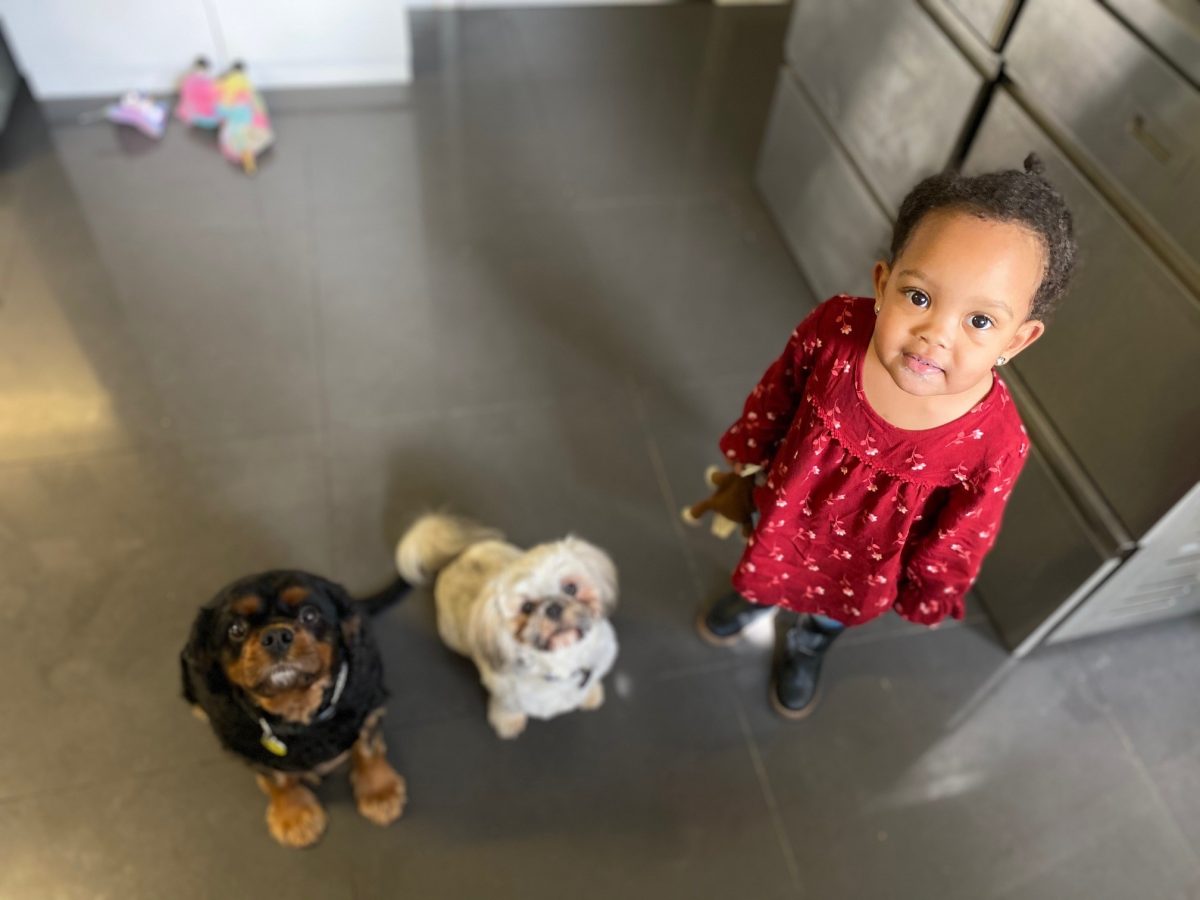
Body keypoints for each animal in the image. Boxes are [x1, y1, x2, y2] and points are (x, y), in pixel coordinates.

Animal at [181, 573, 408, 849]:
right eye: (236, 629)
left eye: (309, 615)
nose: (276, 636)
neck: (299, 711)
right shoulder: (254, 750)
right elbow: (278, 779)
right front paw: (294, 815)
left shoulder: (367, 707)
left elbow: (368, 748)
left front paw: (379, 792)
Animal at [398, 513, 619, 739]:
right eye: (527, 607)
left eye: (570, 588)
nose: (553, 608)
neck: (562, 660)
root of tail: (457, 556)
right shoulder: (506, 693)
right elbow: (508, 707)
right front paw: (507, 723)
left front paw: (590, 694)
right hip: (453, 637)